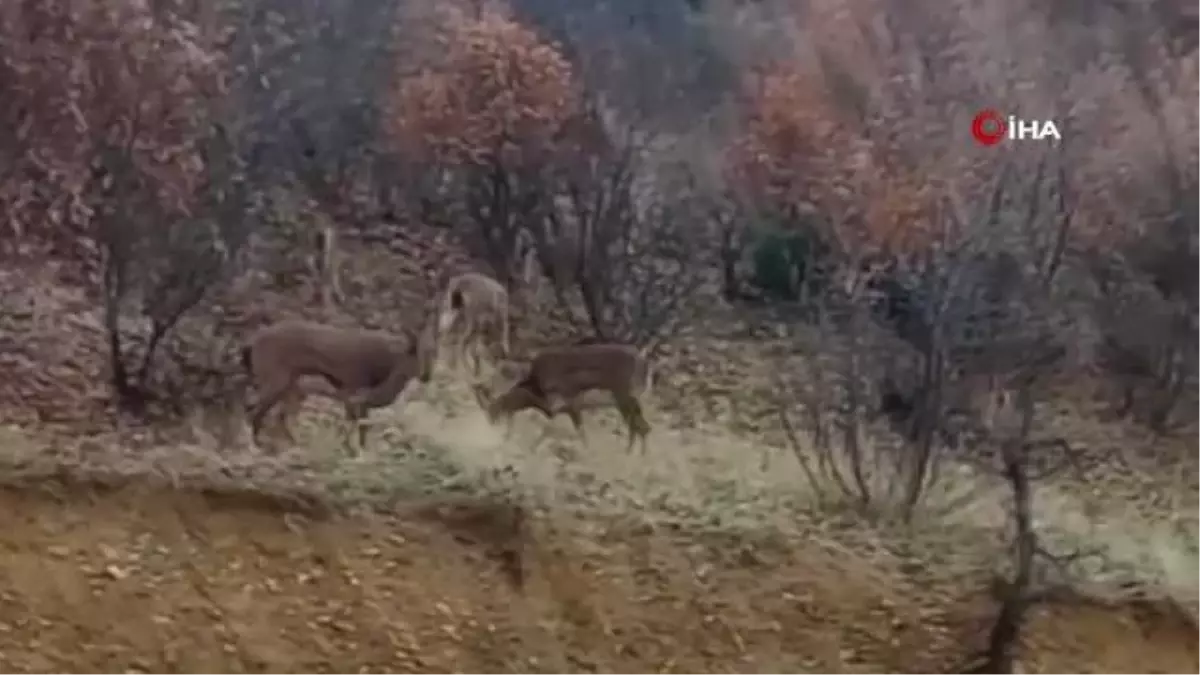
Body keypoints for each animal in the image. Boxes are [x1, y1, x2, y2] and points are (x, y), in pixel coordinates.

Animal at [240, 317, 436, 451]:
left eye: (431, 353)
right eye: (415, 356)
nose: (426, 376)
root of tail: (251, 344)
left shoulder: (355, 398)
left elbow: (359, 425)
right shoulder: (352, 392)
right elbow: (356, 425)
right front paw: (354, 452)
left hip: (292, 389)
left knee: (277, 416)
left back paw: (294, 445)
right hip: (276, 381)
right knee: (256, 412)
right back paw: (258, 446)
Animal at [472, 341, 652, 451]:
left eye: (493, 407)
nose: (491, 424)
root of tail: (642, 359)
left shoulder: (564, 404)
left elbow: (552, 429)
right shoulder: (569, 409)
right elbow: (578, 432)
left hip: (626, 400)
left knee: (640, 427)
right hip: (627, 403)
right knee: (640, 427)